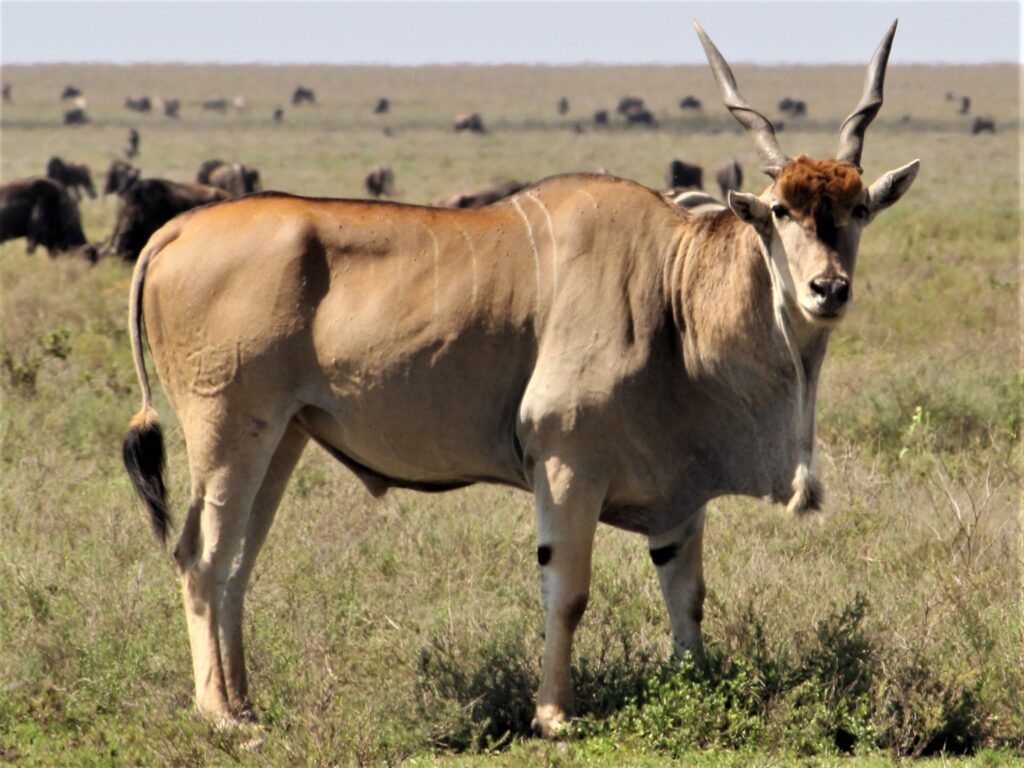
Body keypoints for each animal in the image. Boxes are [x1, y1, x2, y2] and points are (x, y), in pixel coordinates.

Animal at [123, 20, 917, 737]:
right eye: (780, 210)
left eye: (858, 209)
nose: (827, 289)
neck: (673, 286)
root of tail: (177, 230)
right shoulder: (566, 464)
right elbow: (567, 593)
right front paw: (555, 715)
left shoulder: (680, 493)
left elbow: (686, 597)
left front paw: (696, 689)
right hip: (228, 432)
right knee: (201, 555)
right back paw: (221, 717)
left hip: (279, 438)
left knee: (236, 563)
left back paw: (246, 703)